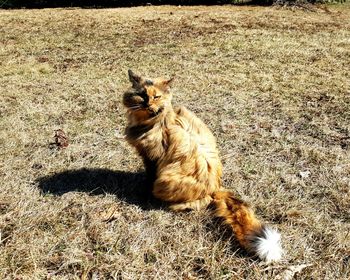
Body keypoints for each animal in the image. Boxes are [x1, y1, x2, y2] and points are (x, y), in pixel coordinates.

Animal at [121, 70, 284, 262]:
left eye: (156, 96)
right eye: (141, 95)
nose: (148, 104)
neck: (151, 122)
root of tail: (216, 189)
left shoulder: (152, 159)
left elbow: (149, 177)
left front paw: (144, 192)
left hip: (165, 181)